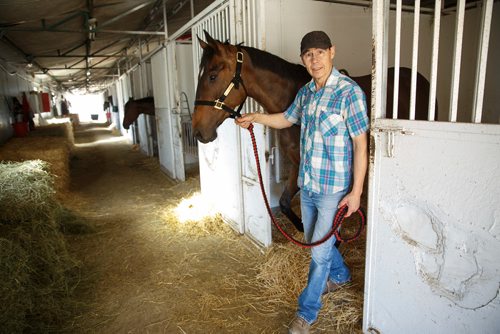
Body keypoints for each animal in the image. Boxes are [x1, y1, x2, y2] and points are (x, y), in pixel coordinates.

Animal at [193, 30, 436, 232]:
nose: (197, 133)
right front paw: (302, 227)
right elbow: (284, 203)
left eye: (212, 76)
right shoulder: (297, 164)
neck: (290, 96)